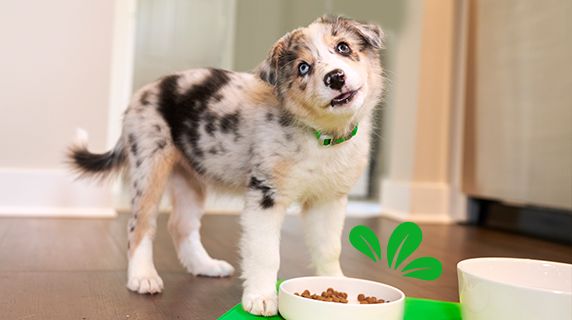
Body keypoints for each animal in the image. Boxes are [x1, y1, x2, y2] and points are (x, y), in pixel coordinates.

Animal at [67, 15, 382, 316]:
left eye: (343, 48)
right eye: (303, 67)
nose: (335, 77)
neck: (321, 136)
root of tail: (142, 93)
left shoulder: (328, 200)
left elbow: (329, 248)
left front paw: (337, 285)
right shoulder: (264, 195)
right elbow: (265, 252)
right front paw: (261, 299)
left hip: (189, 178)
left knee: (180, 225)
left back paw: (205, 266)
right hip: (149, 166)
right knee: (140, 226)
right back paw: (143, 278)